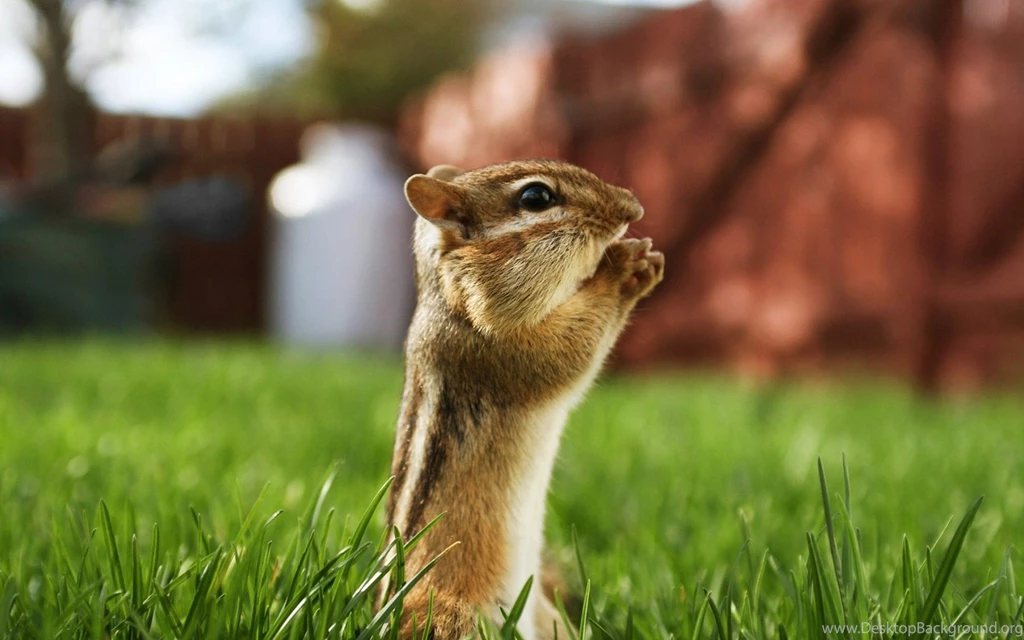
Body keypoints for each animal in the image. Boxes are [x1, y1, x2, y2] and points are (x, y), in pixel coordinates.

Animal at [381, 159, 664, 639]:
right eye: (536, 198)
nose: (635, 207)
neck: (449, 297)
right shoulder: (500, 346)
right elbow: (568, 353)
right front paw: (625, 268)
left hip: (549, 618)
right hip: (455, 619)